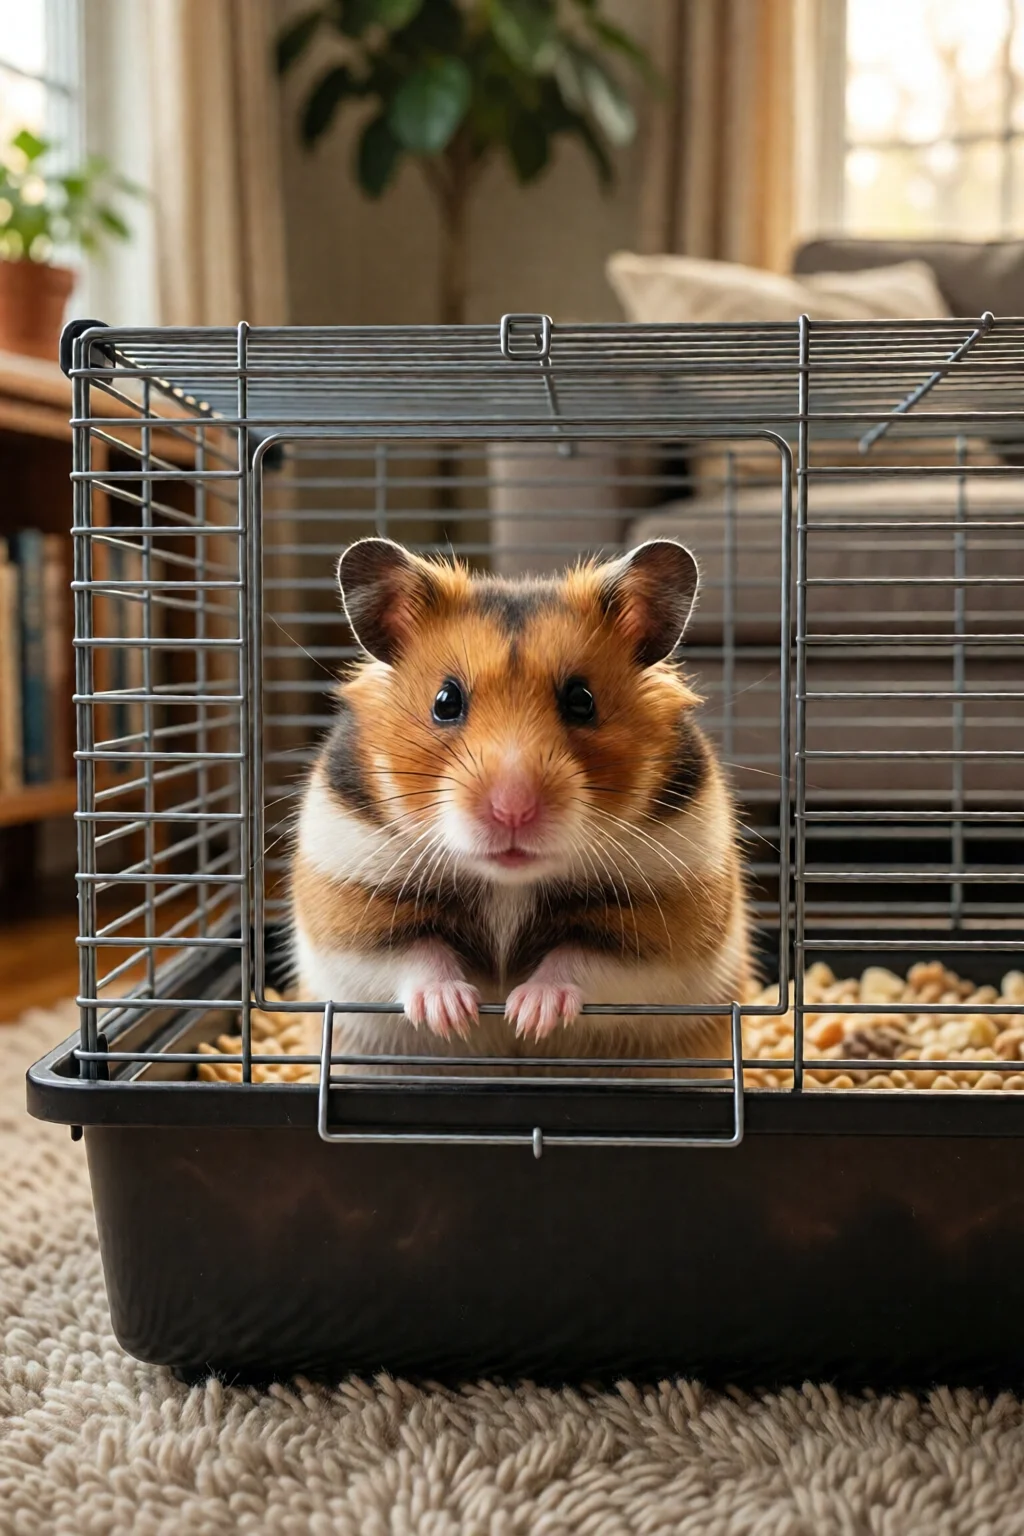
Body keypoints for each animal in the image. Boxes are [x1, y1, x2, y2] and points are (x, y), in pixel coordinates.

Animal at [291, 536, 752, 1073]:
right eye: (445, 701)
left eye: (582, 700)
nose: (512, 811)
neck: (508, 883)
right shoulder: (348, 900)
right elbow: (414, 956)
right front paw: (455, 1013)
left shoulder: (664, 923)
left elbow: (580, 961)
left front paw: (526, 1016)